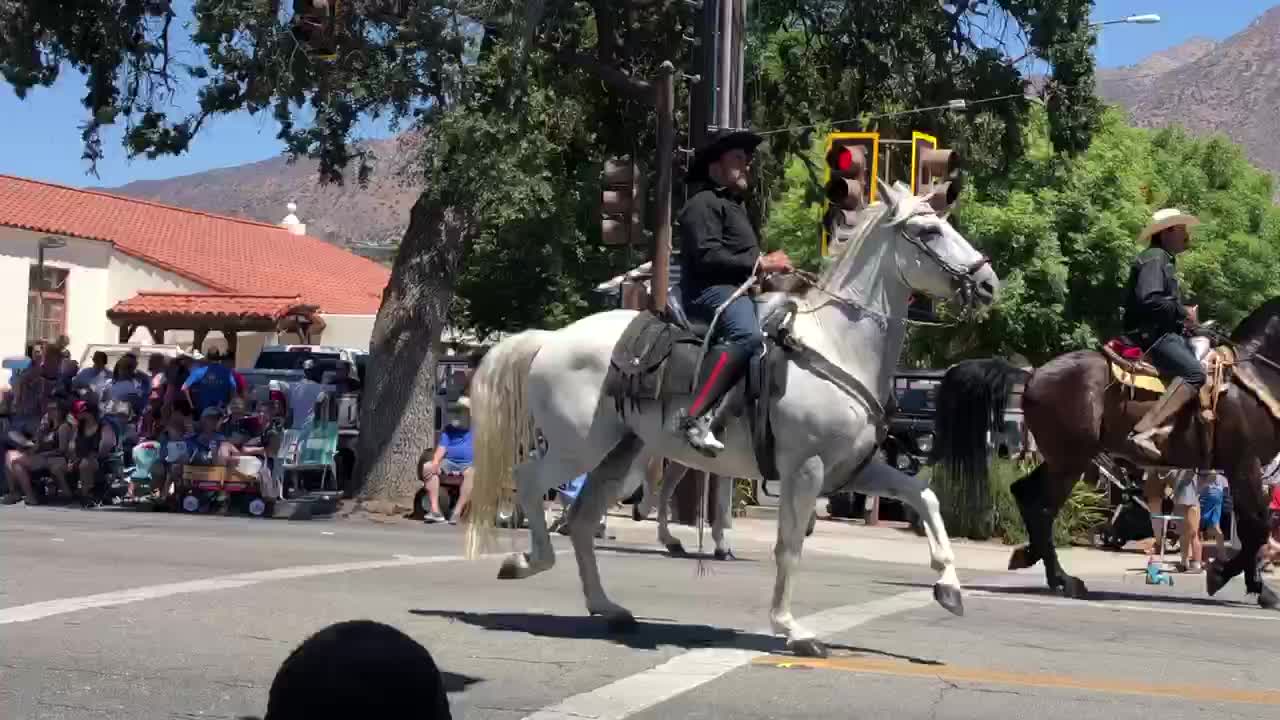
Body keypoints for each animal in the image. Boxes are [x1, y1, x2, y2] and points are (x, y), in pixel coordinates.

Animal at [465, 179, 993, 655]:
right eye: (928, 231)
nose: (989, 282)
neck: (837, 346)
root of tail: (551, 339)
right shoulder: (806, 470)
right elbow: (789, 546)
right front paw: (792, 629)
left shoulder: (852, 471)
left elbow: (923, 496)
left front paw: (950, 588)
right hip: (579, 446)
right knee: (529, 480)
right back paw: (526, 561)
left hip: (619, 456)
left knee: (581, 520)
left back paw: (606, 607)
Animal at [931, 295, 1280, 604]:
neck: (1257, 375)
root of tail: (1032, 374)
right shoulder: (1243, 463)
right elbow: (1258, 526)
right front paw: (1229, 578)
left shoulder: (1243, 468)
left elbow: (1253, 527)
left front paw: (1253, 584)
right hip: (1070, 459)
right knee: (1042, 507)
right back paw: (1064, 580)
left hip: (1064, 457)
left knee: (1026, 495)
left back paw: (1032, 558)